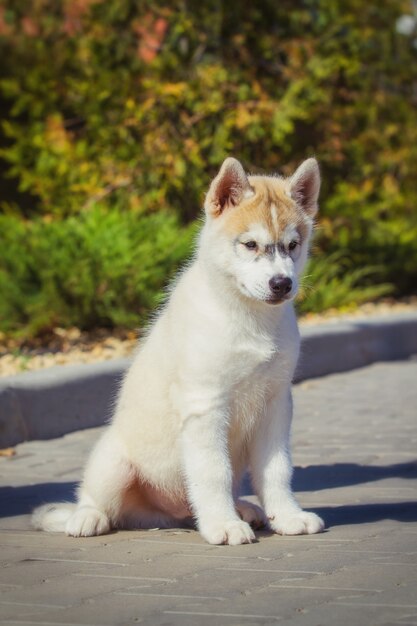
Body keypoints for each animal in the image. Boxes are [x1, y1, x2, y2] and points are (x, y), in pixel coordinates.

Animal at [33, 158, 324, 544]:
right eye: (250, 244)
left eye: (293, 245)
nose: (282, 284)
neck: (248, 318)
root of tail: (162, 514)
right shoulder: (205, 404)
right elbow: (213, 471)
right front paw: (224, 525)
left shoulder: (276, 403)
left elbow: (276, 469)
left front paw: (288, 516)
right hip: (112, 461)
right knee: (96, 499)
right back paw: (87, 518)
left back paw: (242, 509)